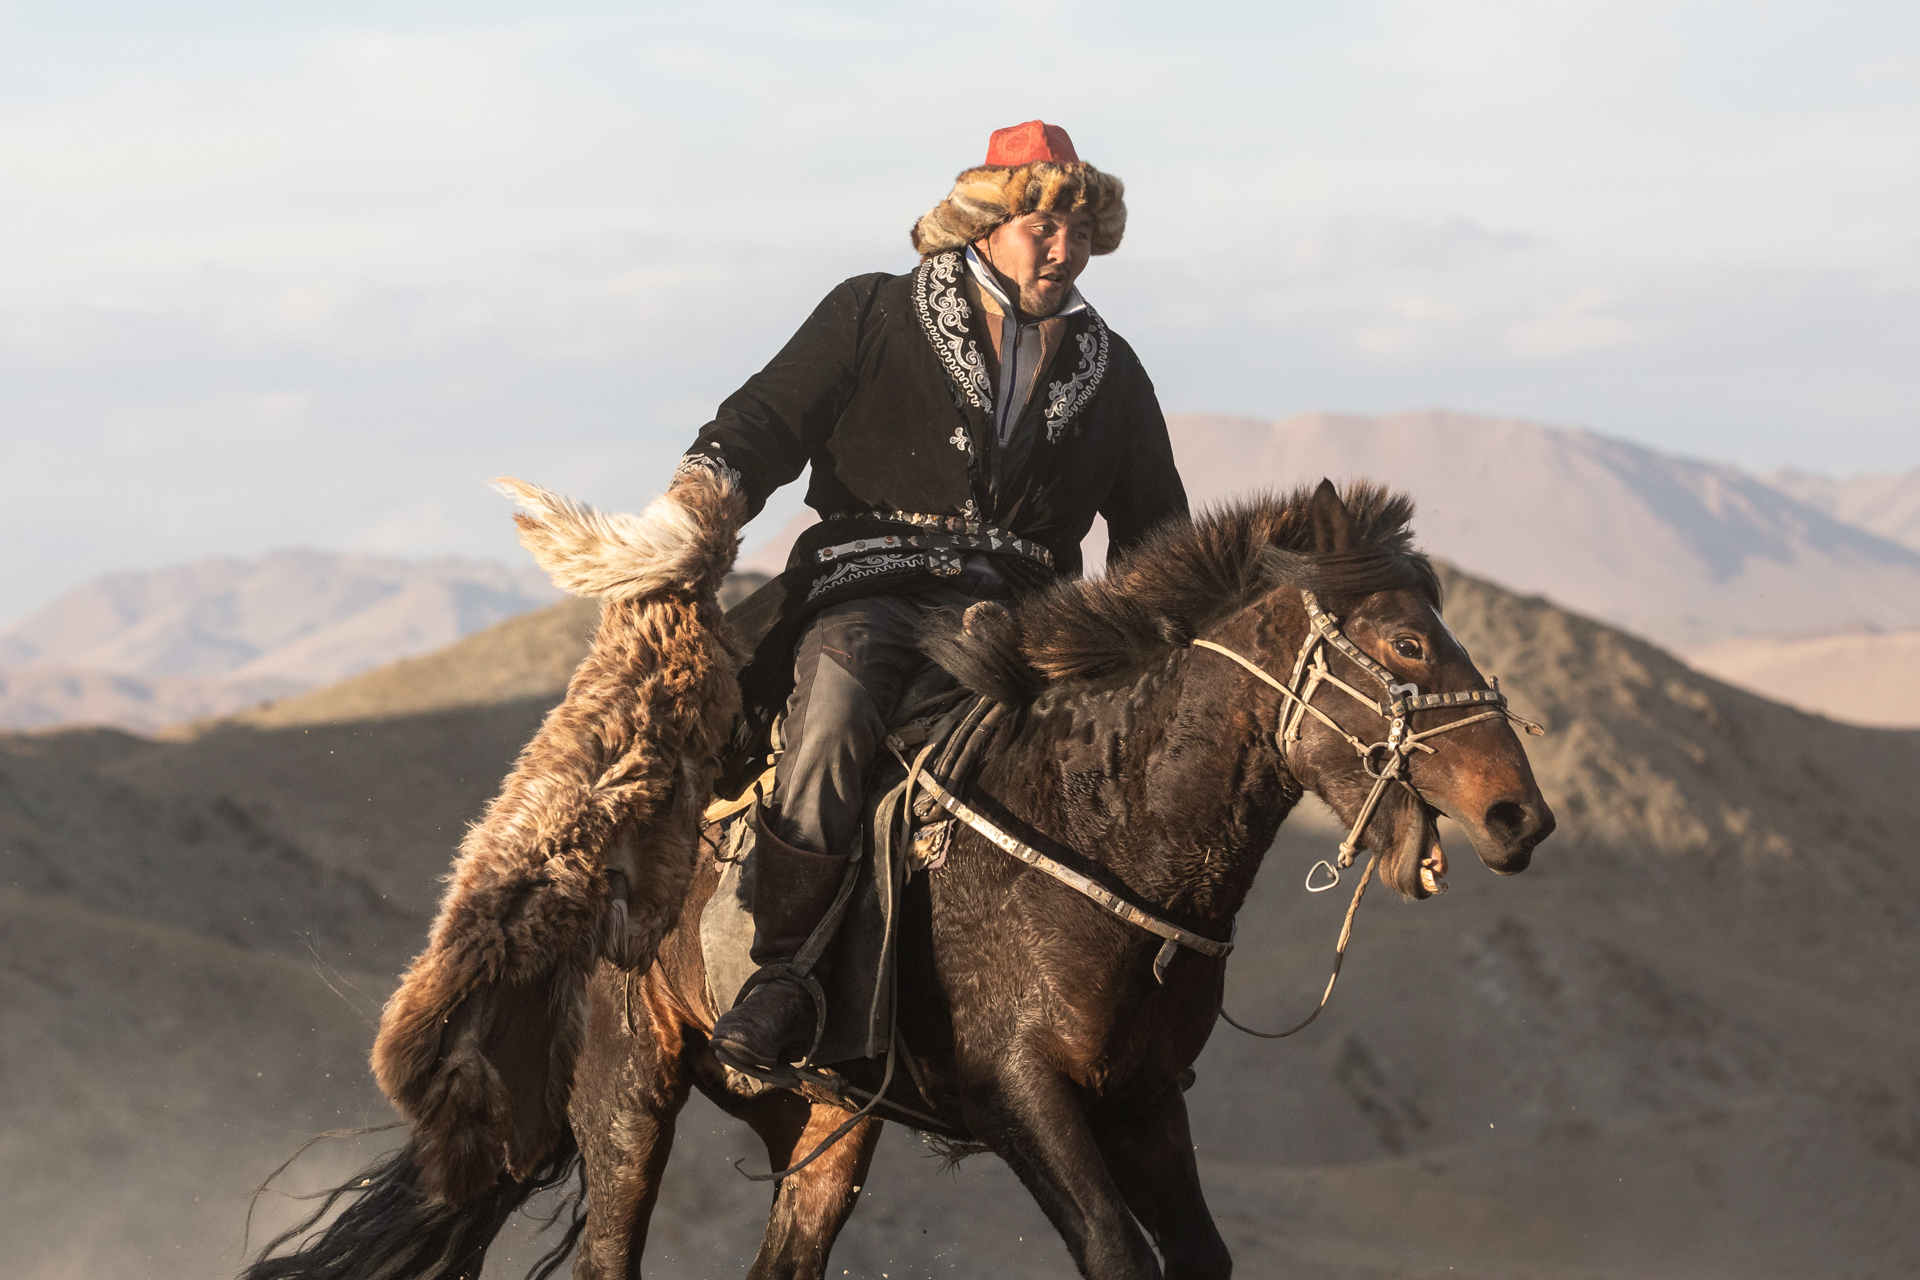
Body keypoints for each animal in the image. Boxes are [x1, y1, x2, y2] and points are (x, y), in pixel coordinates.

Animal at [243, 479, 1559, 1280]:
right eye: (1405, 642)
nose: (1521, 814)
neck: (1101, 823)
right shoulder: (1020, 1093)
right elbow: (1115, 1250)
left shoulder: (1144, 1102)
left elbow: (1195, 1258)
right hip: (629, 1087)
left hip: (826, 1117)